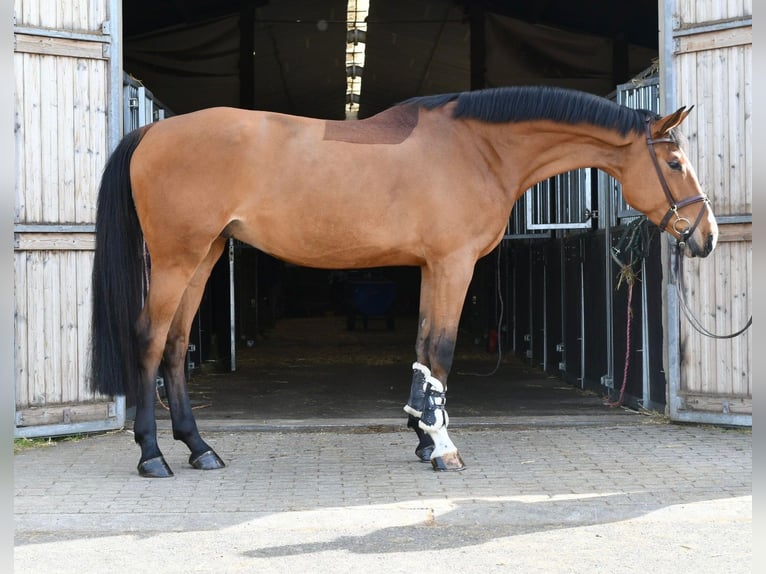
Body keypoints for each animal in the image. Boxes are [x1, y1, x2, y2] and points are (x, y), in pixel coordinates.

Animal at [91, 85, 718, 478]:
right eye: (675, 164)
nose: (706, 236)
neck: (478, 149)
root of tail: (151, 135)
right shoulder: (453, 263)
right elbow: (440, 350)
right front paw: (443, 449)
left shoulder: (431, 267)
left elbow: (421, 351)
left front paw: (421, 437)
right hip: (178, 257)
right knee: (148, 341)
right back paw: (152, 456)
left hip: (205, 255)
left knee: (175, 346)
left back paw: (199, 448)